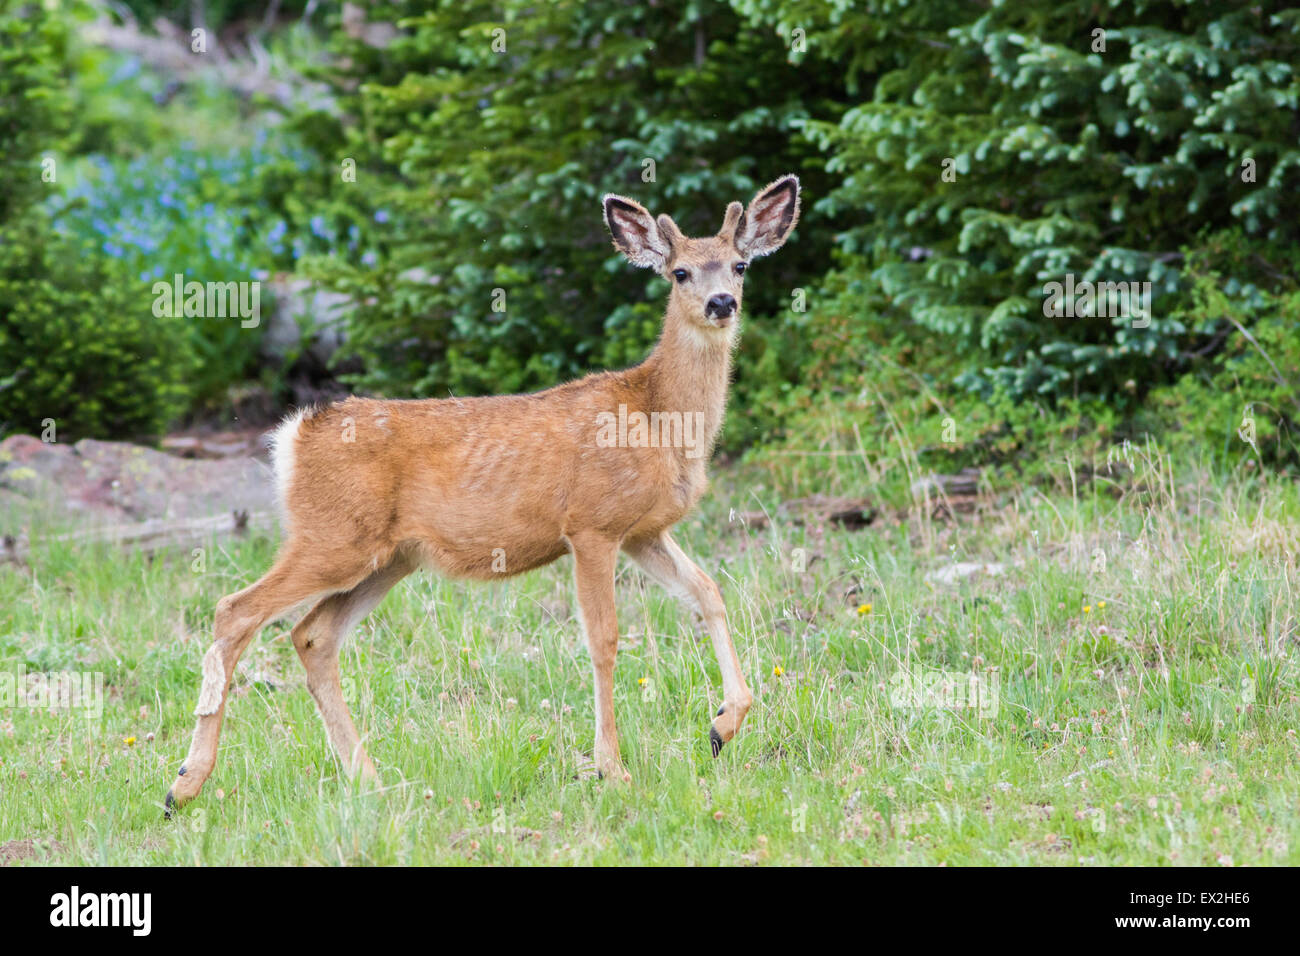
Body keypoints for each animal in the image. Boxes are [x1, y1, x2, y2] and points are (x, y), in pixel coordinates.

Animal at [163, 174, 800, 816]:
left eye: (740, 265)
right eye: (680, 272)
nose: (722, 303)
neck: (658, 418)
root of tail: (295, 435)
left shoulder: (644, 530)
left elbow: (709, 592)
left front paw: (722, 725)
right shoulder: (591, 524)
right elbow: (604, 639)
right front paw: (613, 771)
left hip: (388, 556)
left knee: (312, 634)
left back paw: (368, 779)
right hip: (334, 535)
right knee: (235, 610)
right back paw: (184, 784)